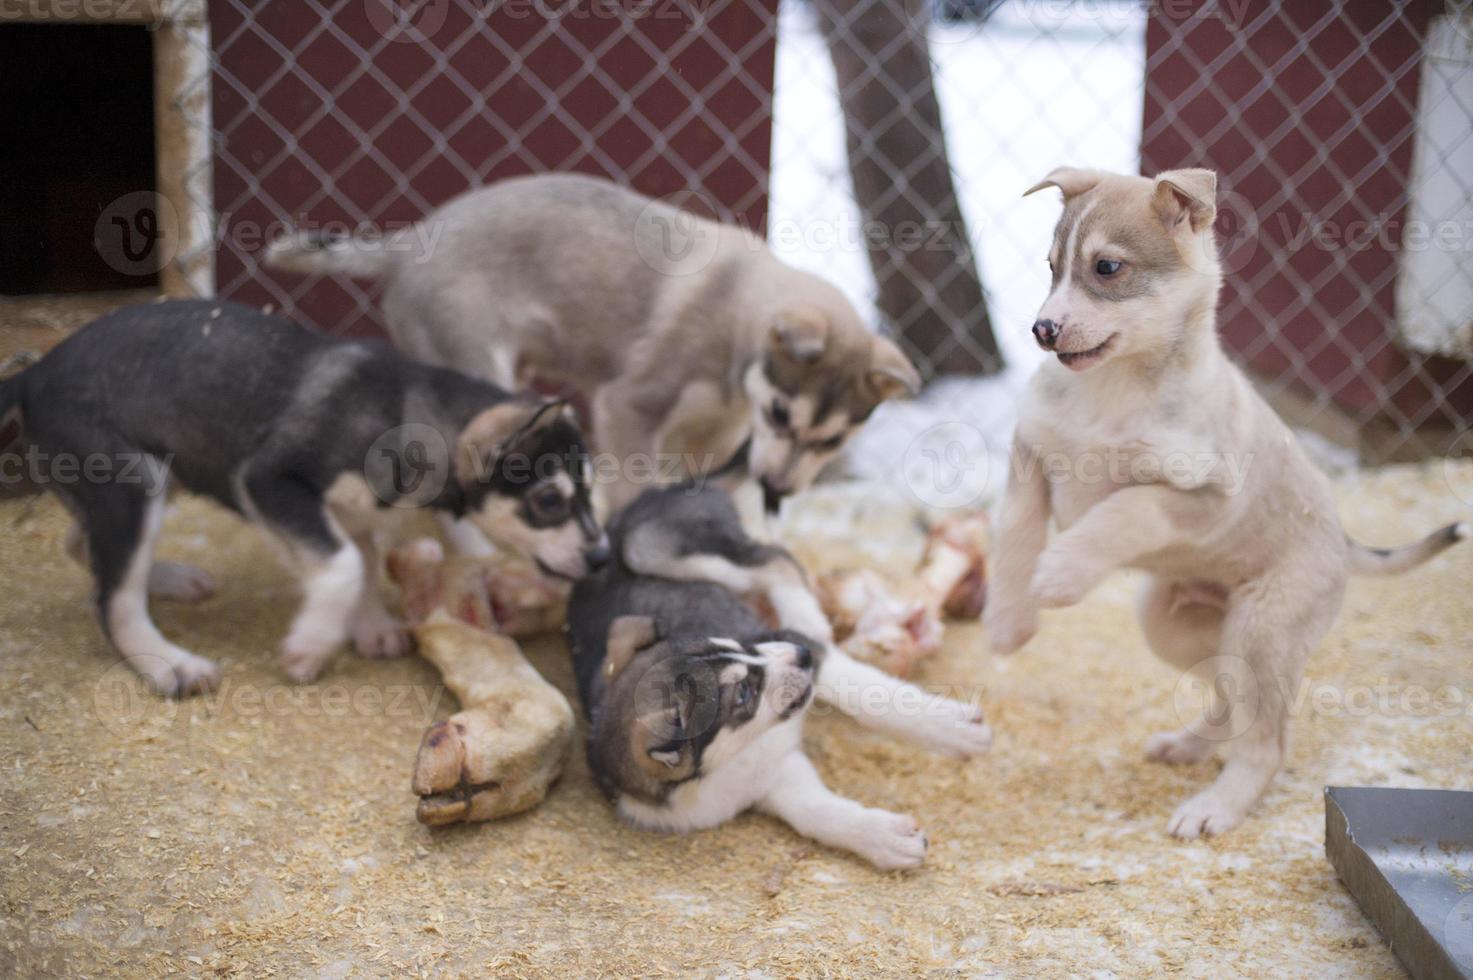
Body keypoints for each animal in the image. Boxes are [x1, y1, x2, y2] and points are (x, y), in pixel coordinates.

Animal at [0, 297, 606, 695]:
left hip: (149, 479)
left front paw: (370, 627)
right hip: (134, 486)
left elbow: (361, 561)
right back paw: (168, 664)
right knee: (113, 598)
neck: (404, 408)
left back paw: (168, 580)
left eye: (589, 493)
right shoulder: (269, 481)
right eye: (549, 501)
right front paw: (310, 646)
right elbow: (342, 567)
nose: (602, 558)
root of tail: (36, 373)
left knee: (83, 549)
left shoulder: (345, 509)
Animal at [265, 173, 919, 515]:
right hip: (478, 364)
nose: (778, 492)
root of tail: (405, 245)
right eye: (782, 414)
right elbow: (633, 488)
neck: (740, 319)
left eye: (832, 441)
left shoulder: (712, 436)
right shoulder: (630, 405)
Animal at [568, 486, 995, 866]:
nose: (802, 656)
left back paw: (804, 609)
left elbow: (869, 697)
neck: (735, 755)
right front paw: (885, 838)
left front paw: (953, 730)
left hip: (649, 545)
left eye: (735, 641)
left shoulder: (794, 650)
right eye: (742, 694)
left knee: (776, 560)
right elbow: (816, 812)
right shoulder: (770, 776)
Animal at [983, 164, 1467, 837]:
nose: (1041, 330)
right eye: (1051, 267)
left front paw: (1061, 572)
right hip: (1176, 625)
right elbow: (1015, 535)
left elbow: (1124, 509)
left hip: (1261, 629)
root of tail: (1345, 543)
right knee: (1229, 698)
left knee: (1267, 741)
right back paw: (1188, 745)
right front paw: (1008, 622)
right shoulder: (1031, 458)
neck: (1112, 389)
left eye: (1106, 268)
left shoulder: (1206, 496)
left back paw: (1215, 807)